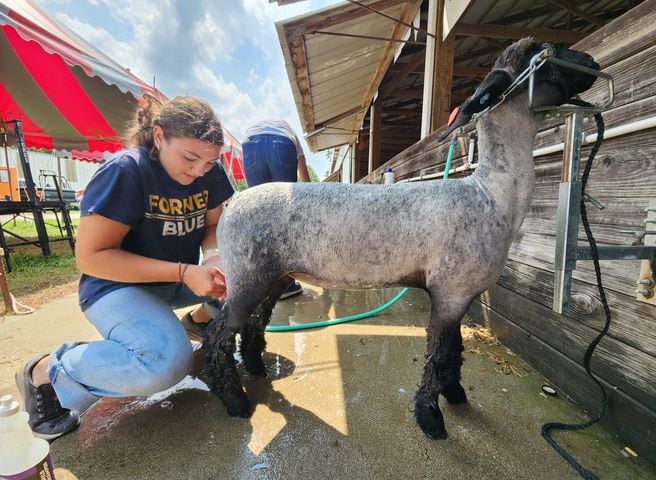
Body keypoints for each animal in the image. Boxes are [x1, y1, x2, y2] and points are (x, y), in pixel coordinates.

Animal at [205, 39, 600, 440]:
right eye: (546, 52)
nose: (593, 62)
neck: (491, 193)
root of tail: (232, 205)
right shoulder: (451, 290)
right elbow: (437, 354)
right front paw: (431, 418)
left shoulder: (460, 293)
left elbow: (454, 350)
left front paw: (455, 394)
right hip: (247, 274)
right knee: (217, 336)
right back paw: (234, 400)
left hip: (273, 275)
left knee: (252, 324)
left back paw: (256, 369)